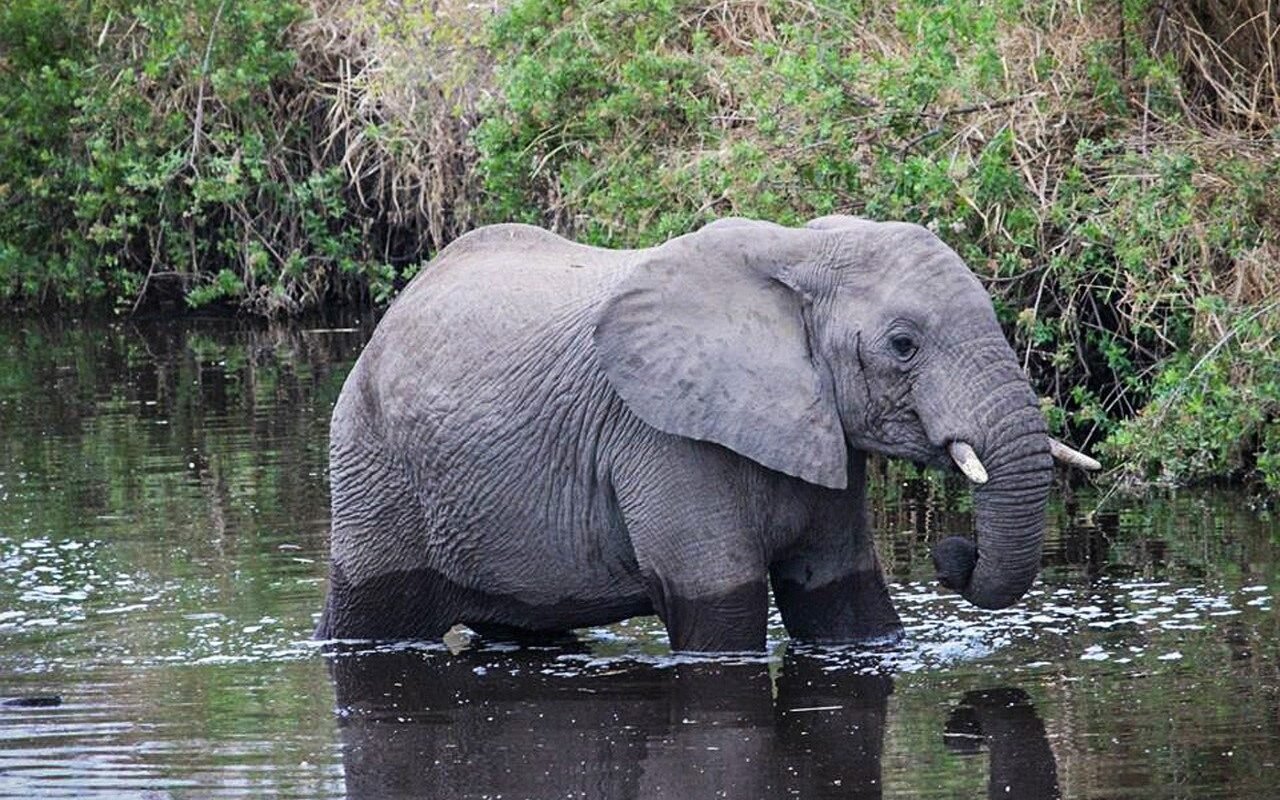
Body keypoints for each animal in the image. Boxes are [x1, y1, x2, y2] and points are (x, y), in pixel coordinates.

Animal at [314, 216, 1095, 650]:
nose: (951, 554)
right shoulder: (660, 438)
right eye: (904, 345)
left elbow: (844, 603)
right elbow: (721, 611)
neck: (800, 254)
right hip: (374, 465)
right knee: (367, 617)